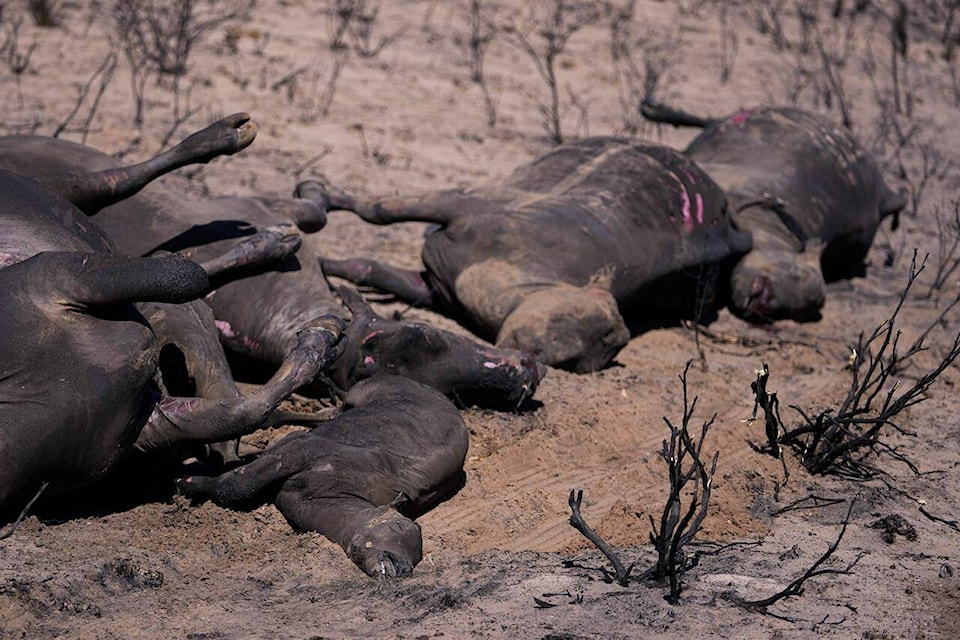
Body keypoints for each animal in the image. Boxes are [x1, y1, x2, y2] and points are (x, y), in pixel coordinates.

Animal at [179, 376, 468, 580]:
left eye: (418, 553)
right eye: (399, 527)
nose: (405, 568)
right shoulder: (298, 449)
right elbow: (236, 484)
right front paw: (188, 483)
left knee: (328, 413)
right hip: (360, 393)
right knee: (333, 409)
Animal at [296, 138, 752, 372]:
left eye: (583, 356)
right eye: (569, 322)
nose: (540, 360)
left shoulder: (434, 288)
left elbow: (371, 266)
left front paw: (326, 266)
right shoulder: (467, 201)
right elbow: (377, 210)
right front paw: (317, 195)